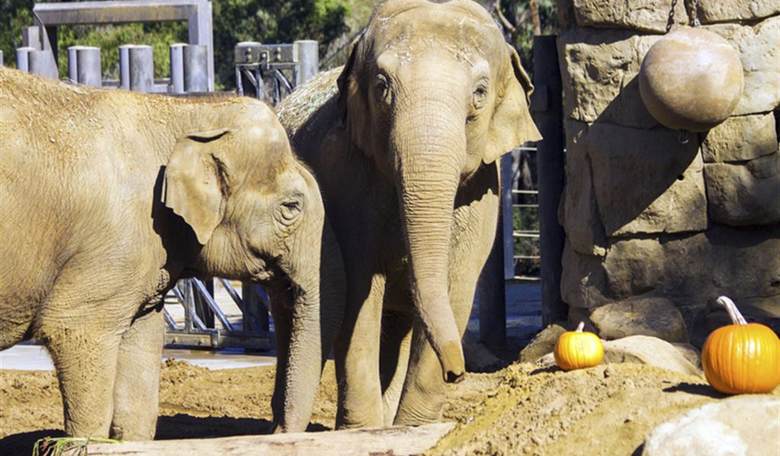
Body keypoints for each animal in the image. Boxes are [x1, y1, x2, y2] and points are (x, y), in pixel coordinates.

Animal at [0, 67, 343, 439]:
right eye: (291, 207)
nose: (275, 430)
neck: (181, 113)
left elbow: (142, 351)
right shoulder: (112, 246)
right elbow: (73, 328)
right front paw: (85, 442)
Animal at [277, 0, 541, 428]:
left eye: (480, 93)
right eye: (382, 86)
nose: (459, 372)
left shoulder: (482, 193)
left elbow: (456, 289)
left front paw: (414, 427)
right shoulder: (346, 181)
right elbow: (358, 291)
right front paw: (362, 431)